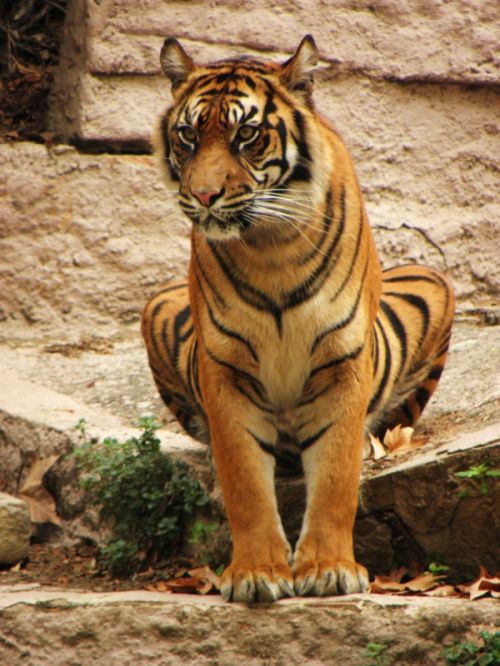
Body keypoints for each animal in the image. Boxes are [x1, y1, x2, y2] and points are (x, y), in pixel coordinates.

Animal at [141, 35, 455, 603]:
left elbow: (335, 477)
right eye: (187, 135)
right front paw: (257, 573)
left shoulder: (343, 361)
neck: (270, 246)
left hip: (432, 287)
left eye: (246, 134)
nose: (203, 196)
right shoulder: (225, 369)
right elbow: (244, 481)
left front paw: (329, 570)